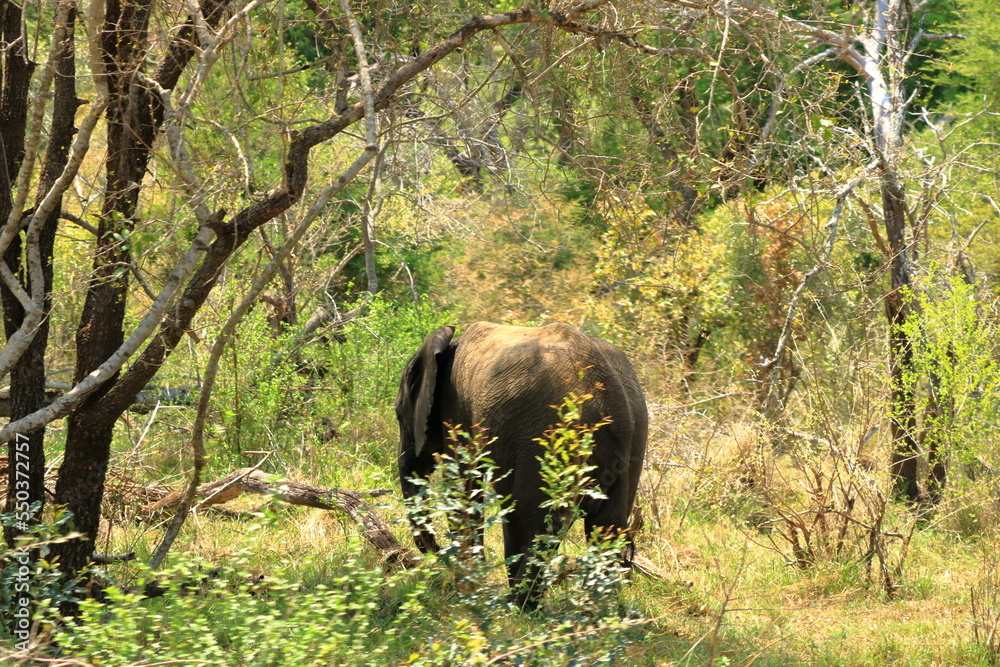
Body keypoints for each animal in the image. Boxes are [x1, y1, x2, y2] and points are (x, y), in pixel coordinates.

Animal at [395, 321, 647, 609]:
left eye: (398, 415)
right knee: (607, 526)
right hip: (634, 439)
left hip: (550, 434)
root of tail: (613, 403)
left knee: (537, 521)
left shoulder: (457, 410)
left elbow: (465, 489)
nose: (436, 555)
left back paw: (521, 608)